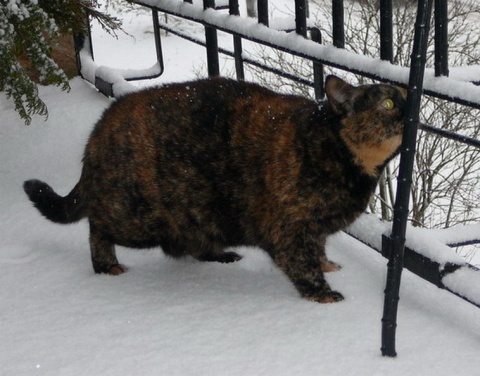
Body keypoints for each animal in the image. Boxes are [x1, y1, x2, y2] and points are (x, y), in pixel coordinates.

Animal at [23, 75, 404, 302]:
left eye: (400, 94)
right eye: (386, 103)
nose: (407, 101)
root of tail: (100, 126)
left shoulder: (316, 228)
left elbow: (319, 248)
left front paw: (326, 263)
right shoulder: (290, 228)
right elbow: (302, 262)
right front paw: (321, 293)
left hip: (196, 215)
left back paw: (221, 255)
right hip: (135, 216)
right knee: (96, 224)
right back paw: (106, 266)